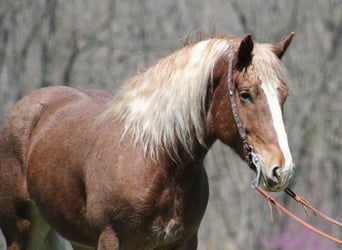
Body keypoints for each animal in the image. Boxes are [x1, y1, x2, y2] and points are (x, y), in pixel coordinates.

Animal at [0, 33, 294, 250]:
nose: (282, 169)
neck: (156, 160)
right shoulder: (111, 240)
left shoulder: (183, 242)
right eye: (245, 94)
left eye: (284, 95)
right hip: (20, 233)